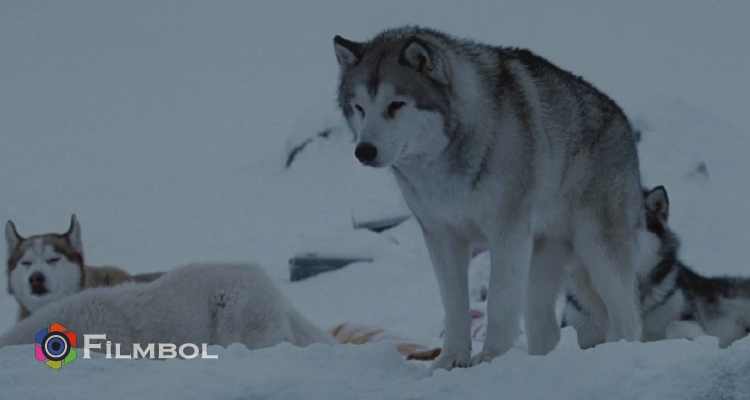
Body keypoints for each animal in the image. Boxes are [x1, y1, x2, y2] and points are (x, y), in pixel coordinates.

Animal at [333, 25, 644, 369]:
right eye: (359, 107)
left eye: (396, 104)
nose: (364, 151)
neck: (443, 161)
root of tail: (621, 118)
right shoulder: (442, 237)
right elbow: (455, 309)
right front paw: (449, 361)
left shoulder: (507, 234)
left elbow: (498, 303)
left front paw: (491, 357)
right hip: (539, 260)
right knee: (546, 329)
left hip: (597, 250)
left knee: (628, 319)